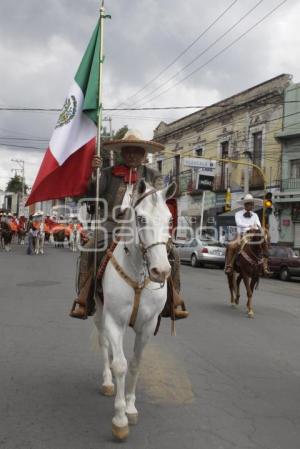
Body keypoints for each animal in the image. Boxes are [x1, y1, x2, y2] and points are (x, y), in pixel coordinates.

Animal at [94, 178, 176, 438]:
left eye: (170, 220)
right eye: (140, 219)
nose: (161, 271)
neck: (138, 273)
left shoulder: (148, 326)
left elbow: (136, 363)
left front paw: (130, 407)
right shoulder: (114, 320)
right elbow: (121, 365)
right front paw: (120, 419)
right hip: (99, 313)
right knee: (103, 343)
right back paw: (107, 381)